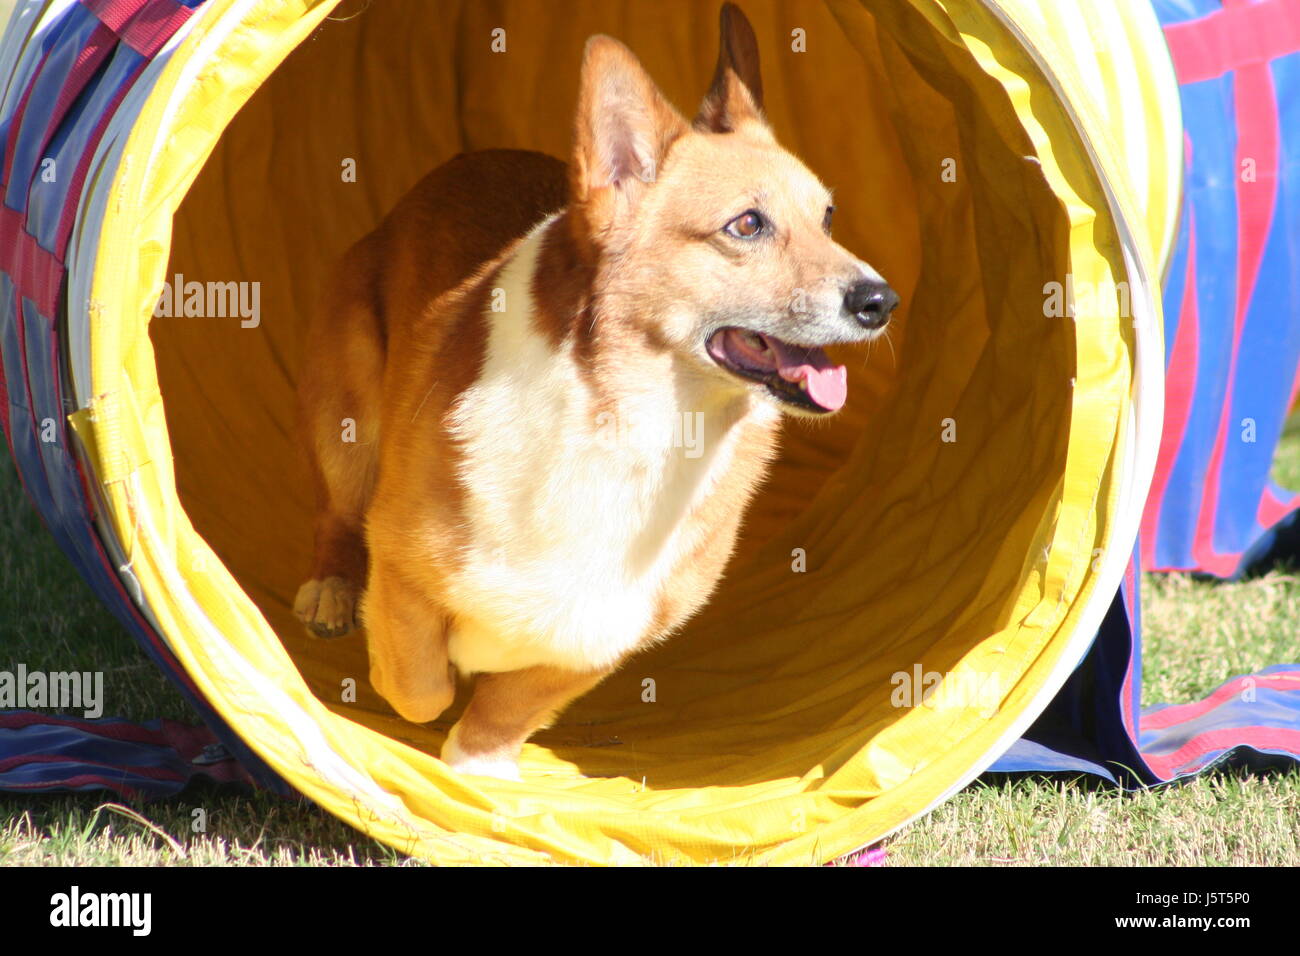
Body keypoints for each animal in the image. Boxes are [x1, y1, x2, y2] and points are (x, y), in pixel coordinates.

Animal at [292, 3, 904, 780]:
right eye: (746, 225)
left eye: (827, 217)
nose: (880, 302)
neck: (641, 418)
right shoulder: (403, 560)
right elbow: (419, 686)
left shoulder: (614, 627)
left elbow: (510, 703)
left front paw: (478, 767)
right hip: (350, 416)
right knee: (337, 516)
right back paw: (331, 590)